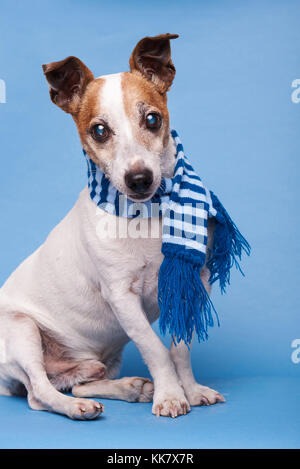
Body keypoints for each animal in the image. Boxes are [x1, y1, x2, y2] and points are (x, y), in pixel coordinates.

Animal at [0, 33, 225, 420]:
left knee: (79, 379)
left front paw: (192, 391)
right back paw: (76, 407)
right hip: (22, 329)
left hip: (102, 359)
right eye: (99, 131)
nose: (139, 179)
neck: (147, 215)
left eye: (152, 119)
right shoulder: (121, 296)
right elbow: (155, 349)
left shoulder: (192, 283)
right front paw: (170, 395)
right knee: (38, 392)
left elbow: (179, 348)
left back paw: (127, 387)